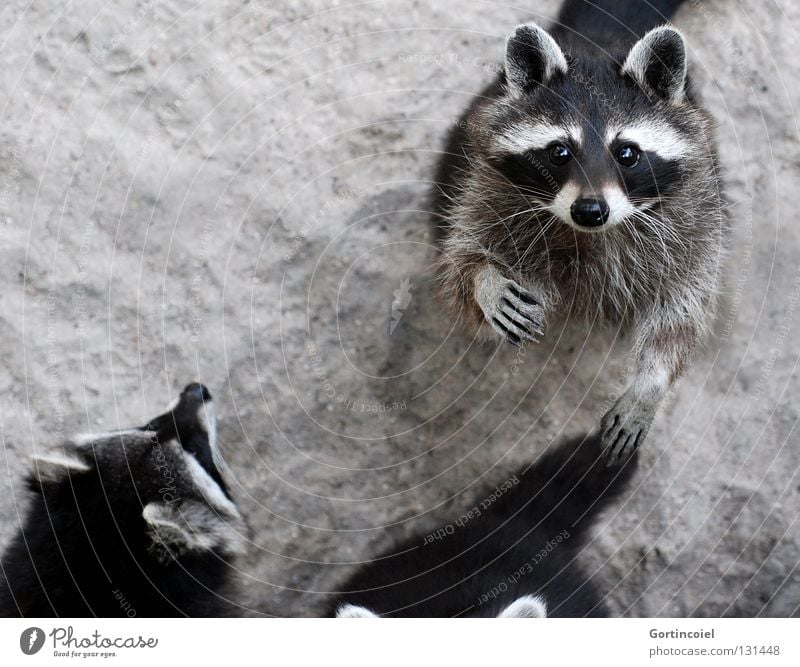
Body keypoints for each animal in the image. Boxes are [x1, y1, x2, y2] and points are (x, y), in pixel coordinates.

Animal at [434, 0, 728, 462]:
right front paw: (485, 281)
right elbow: (461, 264)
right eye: (559, 152)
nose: (590, 210)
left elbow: (682, 310)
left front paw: (651, 385)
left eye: (627, 153)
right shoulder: (487, 189)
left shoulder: (695, 217)